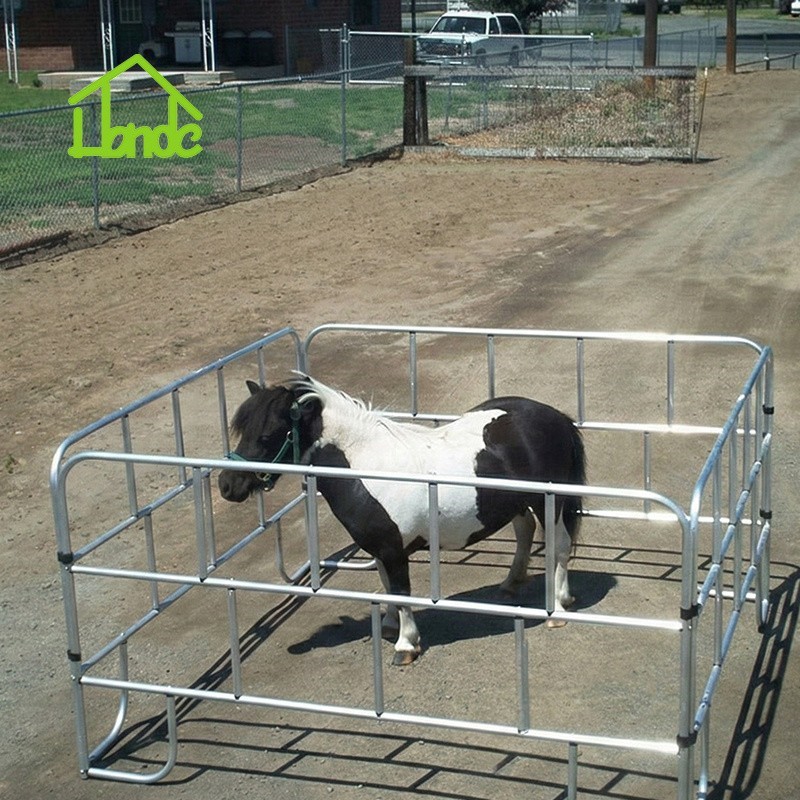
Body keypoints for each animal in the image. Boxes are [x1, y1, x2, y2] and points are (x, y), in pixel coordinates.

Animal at [218, 377, 586, 665]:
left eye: (268, 435)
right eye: (242, 431)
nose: (227, 485)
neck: (367, 467)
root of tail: (556, 417)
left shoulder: (394, 550)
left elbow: (402, 590)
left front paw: (406, 645)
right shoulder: (380, 549)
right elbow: (388, 587)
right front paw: (390, 624)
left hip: (549, 501)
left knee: (559, 547)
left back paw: (558, 607)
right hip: (520, 501)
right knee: (525, 532)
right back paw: (511, 584)